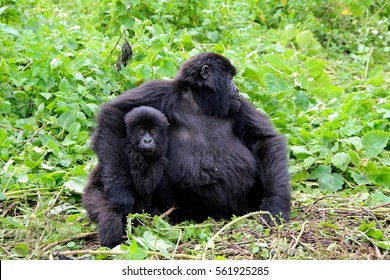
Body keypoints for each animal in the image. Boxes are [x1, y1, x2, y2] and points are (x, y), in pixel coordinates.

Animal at [83, 105, 168, 247]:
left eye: (152, 132)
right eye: (140, 131)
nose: (147, 140)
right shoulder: (128, 150)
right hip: (90, 197)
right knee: (109, 212)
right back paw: (111, 241)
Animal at [92, 52, 290, 223]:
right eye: (230, 78)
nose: (237, 89)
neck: (200, 100)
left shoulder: (239, 103)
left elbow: (264, 139)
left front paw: (276, 204)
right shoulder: (162, 90)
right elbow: (115, 112)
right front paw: (119, 191)